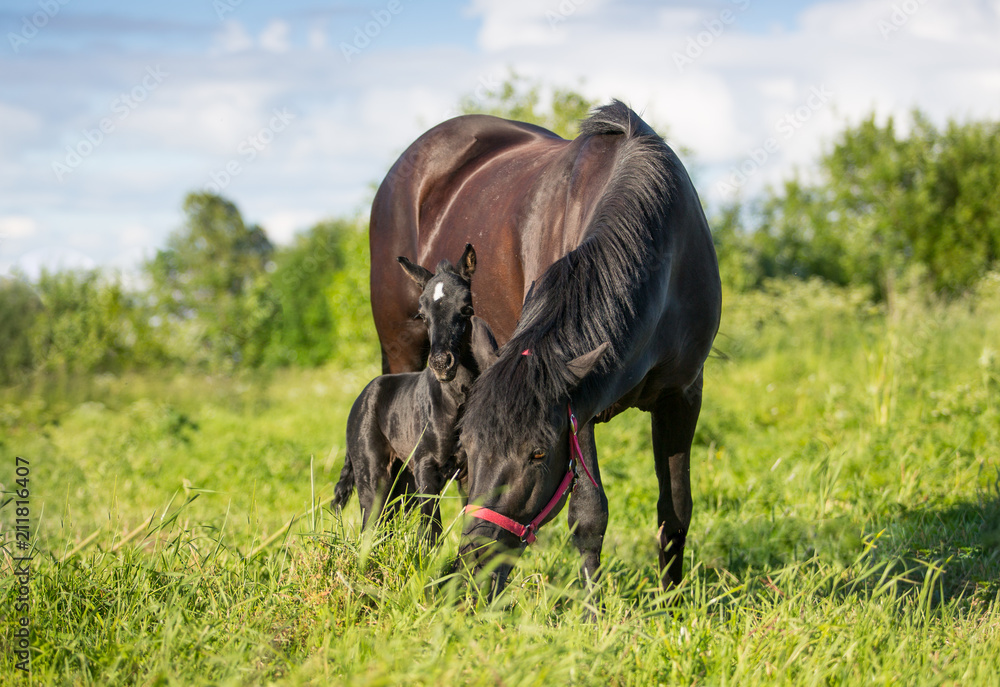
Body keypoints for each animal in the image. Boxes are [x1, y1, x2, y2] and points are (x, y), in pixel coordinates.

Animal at [334, 245, 498, 539]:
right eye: (422, 315)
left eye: (466, 308)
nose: (441, 363)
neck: (456, 401)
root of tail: (363, 397)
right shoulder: (425, 467)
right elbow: (431, 531)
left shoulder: (469, 470)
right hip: (374, 476)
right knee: (371, 525)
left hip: (402, 479)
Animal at [368, 100, 721, 595]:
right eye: (471, 446)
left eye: (538, 453)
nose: (474, 563)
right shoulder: (582, 408)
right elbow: (589, 515)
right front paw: (594, 608)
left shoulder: (682, 395)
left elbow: (674, 510)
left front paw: (669, 603)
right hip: (401, 352)